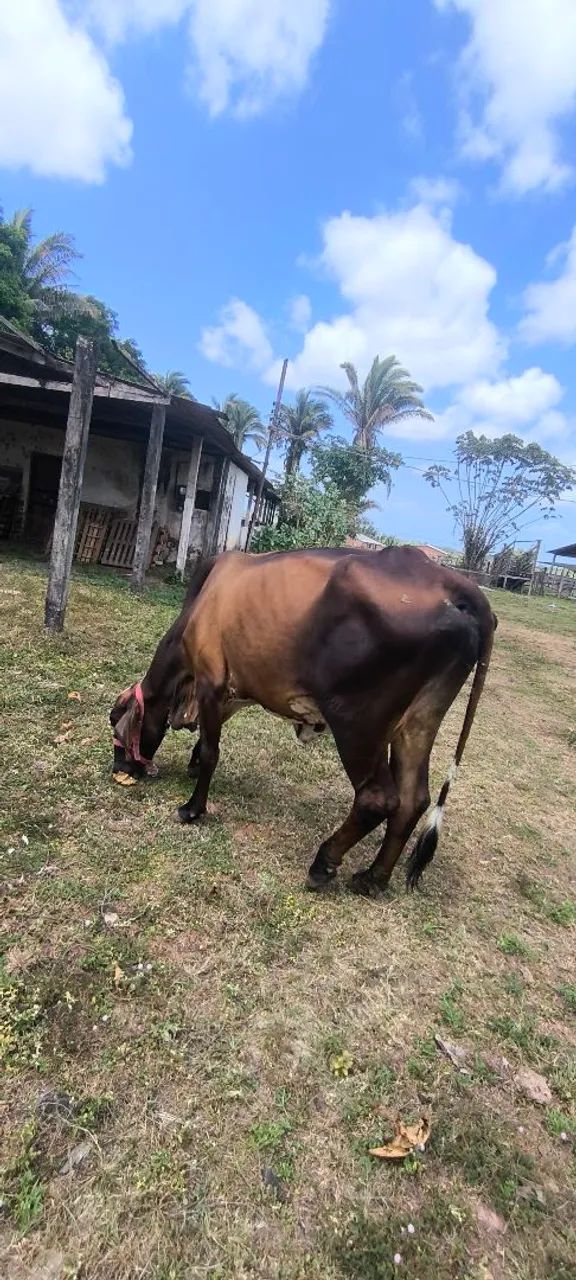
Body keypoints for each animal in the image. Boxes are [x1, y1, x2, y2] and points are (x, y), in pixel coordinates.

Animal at [110, 545, 496, 895]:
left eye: (115, 725)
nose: (120, 770)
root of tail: (449, 581)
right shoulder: (239, 688)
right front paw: (190, 766)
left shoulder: (211, 681)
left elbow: (210, 751)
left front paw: (192, 808)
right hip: (419, 722)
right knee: (413, 799)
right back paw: (373, 878)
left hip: (357, 723)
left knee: (378, 799)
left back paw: (323, 863)